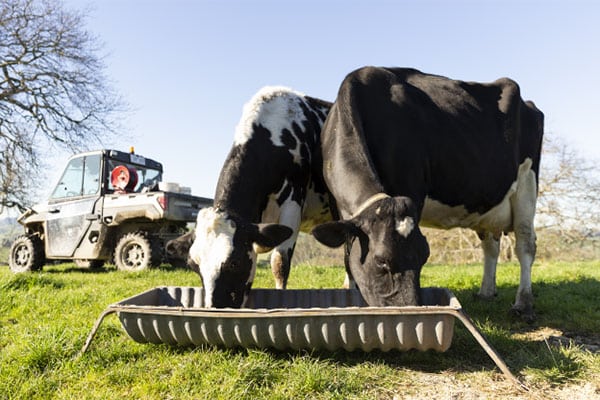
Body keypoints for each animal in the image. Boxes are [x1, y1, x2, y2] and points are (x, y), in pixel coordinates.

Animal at [314, 66, 544, 322]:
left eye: (425, 255)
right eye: (381, 261)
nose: (411, 310)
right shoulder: (337, 205)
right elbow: (347, 255)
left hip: (527, 182)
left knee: (525, 244)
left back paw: (524, 304)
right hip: (488, 204)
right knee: (490, 245)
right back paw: (486, 292)